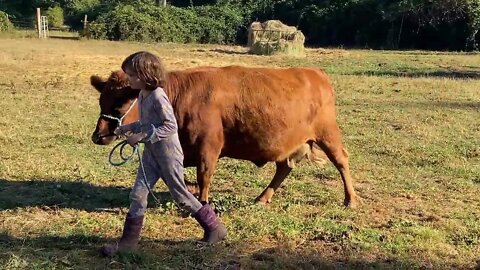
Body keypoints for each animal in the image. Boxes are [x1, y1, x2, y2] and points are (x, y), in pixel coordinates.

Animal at [91, 66, 356, 209]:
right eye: (101, 100)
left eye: (120, 103)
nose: (98, 135)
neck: (179, 96)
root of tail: (315, 73)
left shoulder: (208, 146)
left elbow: (204, 175)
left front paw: (203, 201)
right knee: (284, 168)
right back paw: (262, 198)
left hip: (328, 134)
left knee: (341, 161)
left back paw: (350, 199)